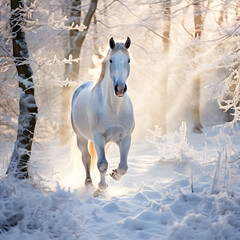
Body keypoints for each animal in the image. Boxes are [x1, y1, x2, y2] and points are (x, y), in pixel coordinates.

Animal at [71, 36, 135, 192]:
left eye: (128, 60)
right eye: (111, 60)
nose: (120, 89)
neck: (114, 108)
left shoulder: (125, 137)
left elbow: (123, 167)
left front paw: (115, 174)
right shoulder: (98, 137)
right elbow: (101, 164)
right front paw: (101, 187)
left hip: (106, 143)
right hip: (81, 137)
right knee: (86, 158)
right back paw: (89, 182)